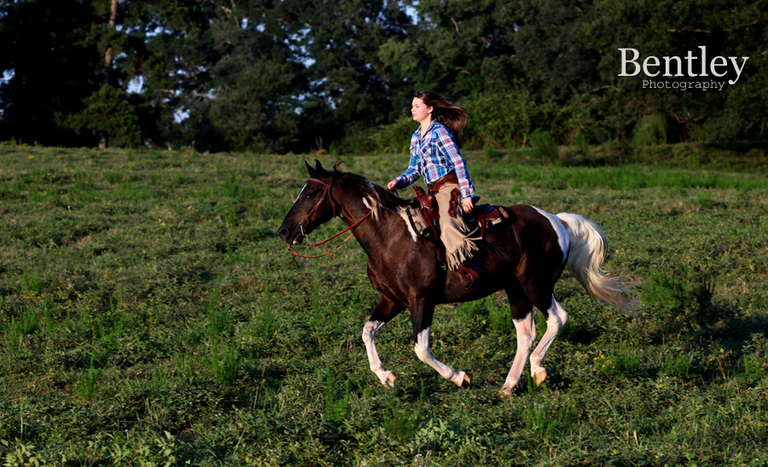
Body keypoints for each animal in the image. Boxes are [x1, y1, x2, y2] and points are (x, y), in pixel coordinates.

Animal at [277, 161, 633, 396]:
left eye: (311, 193)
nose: (284, 231)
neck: (392, 236)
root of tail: (555, 220)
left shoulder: (422, 301)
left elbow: (421, 349)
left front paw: (459, 377)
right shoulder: (392, 300)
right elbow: (367, 332)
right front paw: (386, 377)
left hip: (536, 285)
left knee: (557, 318)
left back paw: (538, 369)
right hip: (516, 290)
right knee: (526, 333)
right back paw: (509, 385)